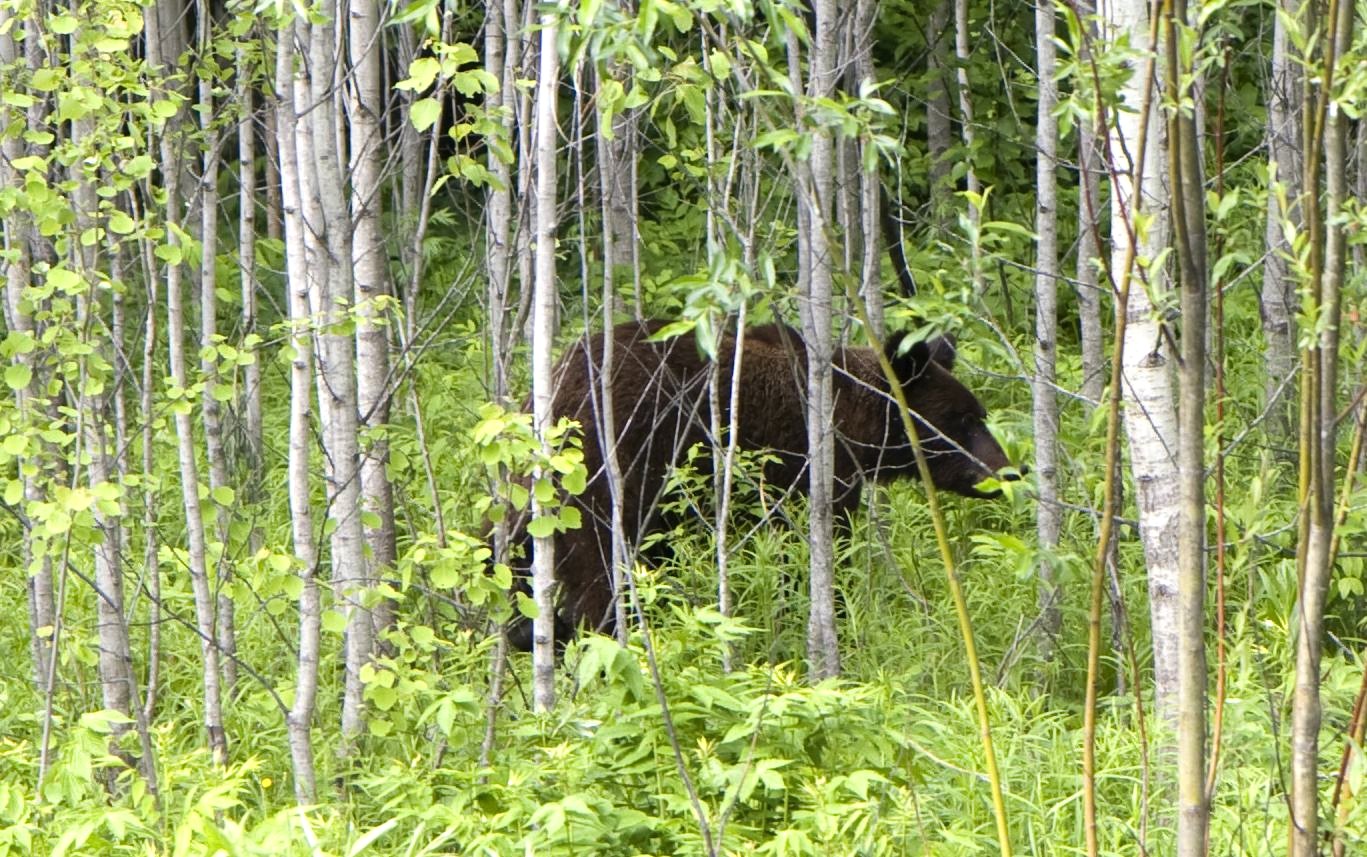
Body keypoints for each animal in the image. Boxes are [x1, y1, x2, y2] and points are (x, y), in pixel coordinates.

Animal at [508, 322, 1022, 650]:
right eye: (962, 418)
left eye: (979, 413)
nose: (1009, 472)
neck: (848, 421)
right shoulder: (802, 469)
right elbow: (812, 548)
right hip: (613, 475)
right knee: (601, 571)